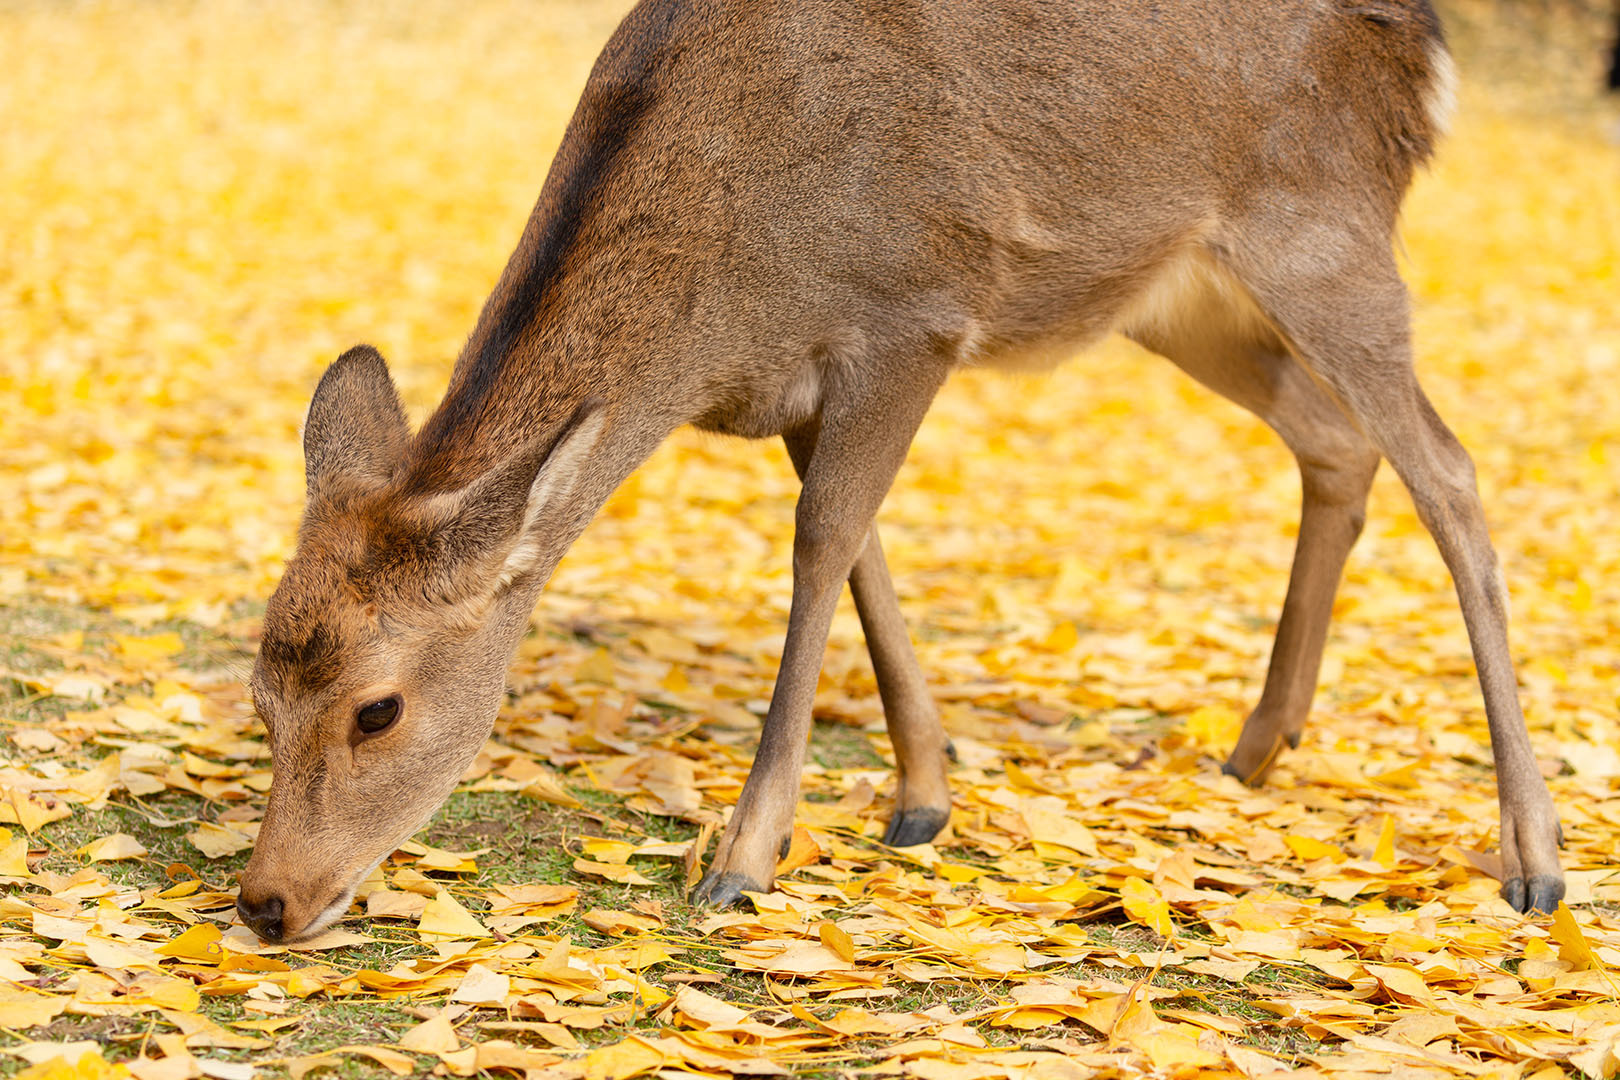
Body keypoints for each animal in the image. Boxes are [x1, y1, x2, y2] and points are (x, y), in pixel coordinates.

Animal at [235, 0, 1565, 944]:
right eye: (258, 690)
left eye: (377, 709)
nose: (264, 902)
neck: (729, 303)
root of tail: (1427, 50)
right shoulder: (795, 386)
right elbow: (860, 549)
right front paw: (923, 797)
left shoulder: (915, 310)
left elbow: (823, 541)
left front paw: (744, 862)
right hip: (1177, 297)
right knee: (1338, 443)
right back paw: (1255, 747)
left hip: (1327, 228)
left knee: (1450, 472)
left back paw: (1535, 858)